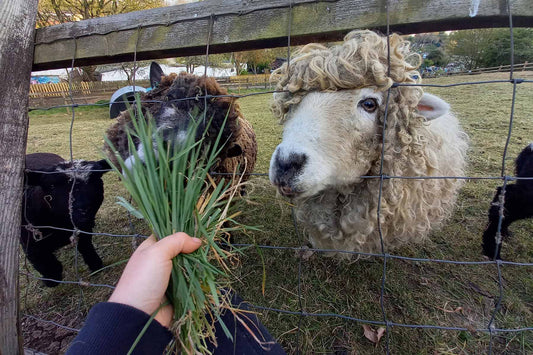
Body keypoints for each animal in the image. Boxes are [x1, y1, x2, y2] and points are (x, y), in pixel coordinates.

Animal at [21, 152, 110, 286]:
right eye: (51, 186)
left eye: (95, 179)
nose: (83, 209)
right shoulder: (30, 242)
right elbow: (42, 261)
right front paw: (51, 279)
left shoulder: (84, 228)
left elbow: (86, 247)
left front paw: (96, 265)